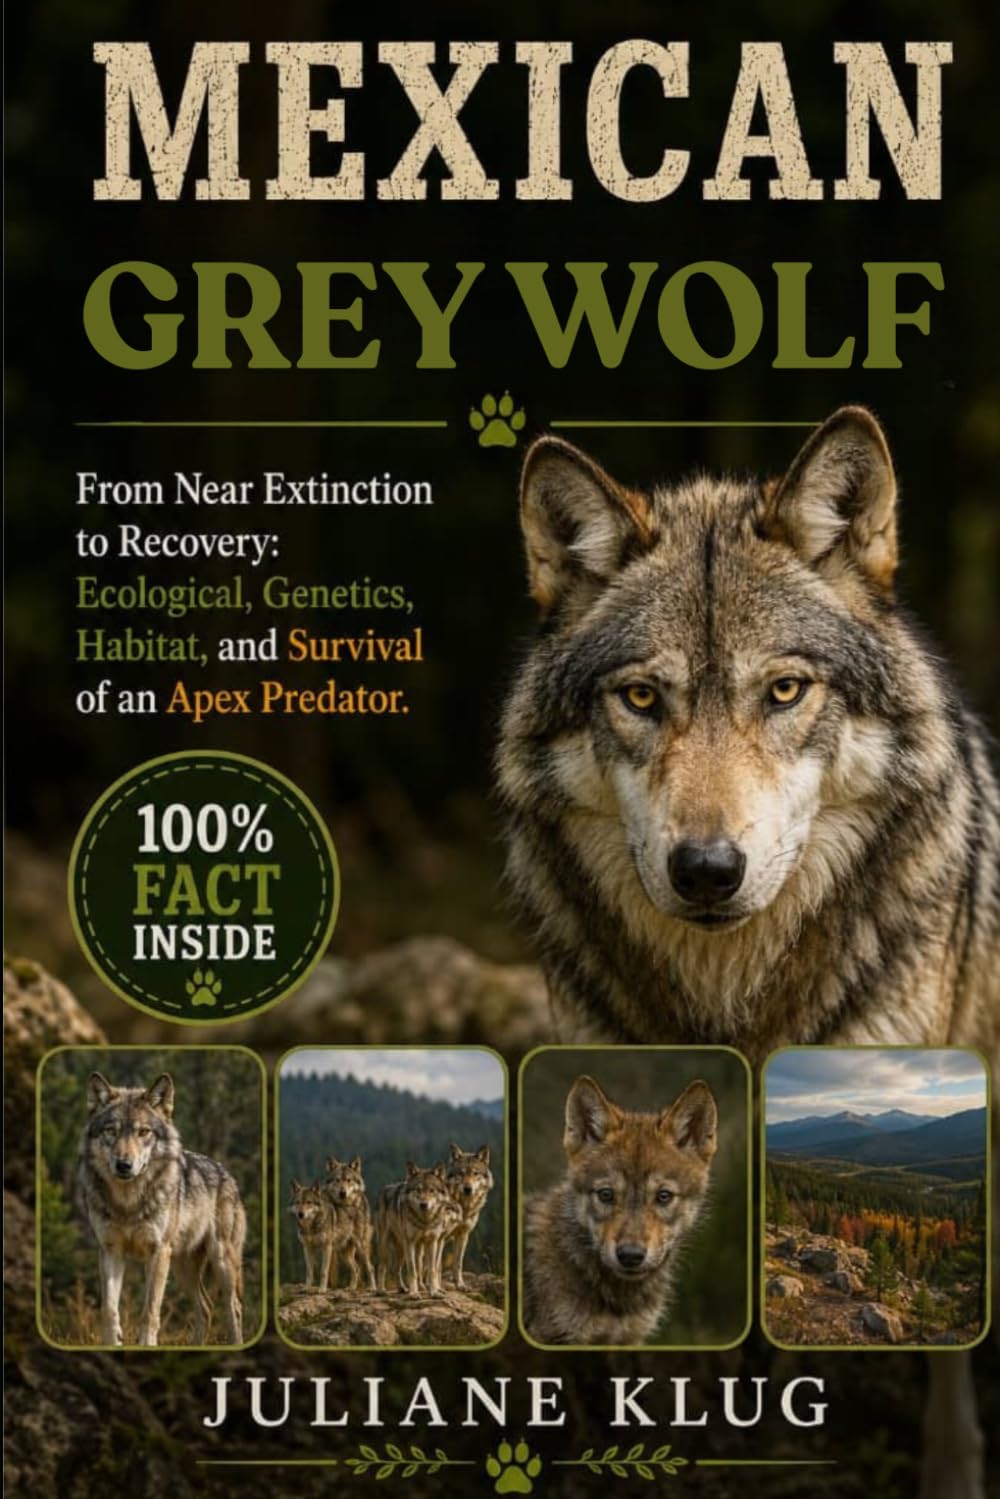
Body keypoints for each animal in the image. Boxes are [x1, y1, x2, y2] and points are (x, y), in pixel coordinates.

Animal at [78, 1072, 245, 1347]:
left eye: (143, 1132)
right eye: (111, 1131)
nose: (124, 1165)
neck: (128, 1203)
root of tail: (227, 1173)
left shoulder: (157, 1252)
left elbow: (150, 1311)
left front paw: (146, 1345)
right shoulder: (110, 1251)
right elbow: (109, 1309)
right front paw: (113, 1342)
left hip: (220, 1261)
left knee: (233, 1308)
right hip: (181, 1268)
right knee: (206, 1308)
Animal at [323, 1155, 377, 1291]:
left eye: (348, 1180)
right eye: (337, 1180)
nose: (343, 1193)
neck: (345, 1205)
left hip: (360, 1245)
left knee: (370, 1267)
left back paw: (373, 1288)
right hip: (344, 1251)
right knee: (356, 1268)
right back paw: (351, 1287)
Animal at [375, 1162, 452, 1296]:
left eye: (432, 1190)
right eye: (418, 1189)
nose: (424, 1204)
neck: (424, 1221)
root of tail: (385, 1189)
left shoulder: (433, 1242)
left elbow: (432, 1269)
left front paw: (434, 1292)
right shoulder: (410, 1242)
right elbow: (412, 1270)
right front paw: (414, 1293)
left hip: (409, 1249)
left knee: (396, 1268)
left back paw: (403, 1288)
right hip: (387, 1246)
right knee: (382, 1267)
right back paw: (381, 1290)